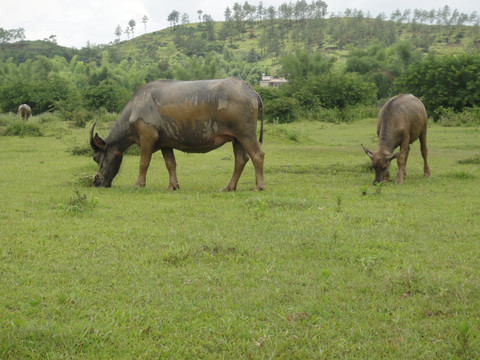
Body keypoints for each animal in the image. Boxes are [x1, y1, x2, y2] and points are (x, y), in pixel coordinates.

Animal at [88, 77, 264, 191]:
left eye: (96, 158)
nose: (96, 182)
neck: (135, 108)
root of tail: (249, 89)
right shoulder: (165, 143)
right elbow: (170, 164)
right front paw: (173, 185)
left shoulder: (147, 137)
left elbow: (143, 162)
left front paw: (139, 184)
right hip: (237, 138)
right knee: (240, 160)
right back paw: (229, 187)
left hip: (246, 135)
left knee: (257, 155)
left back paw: (259, 186)